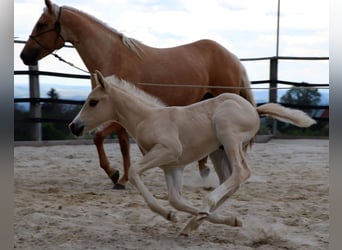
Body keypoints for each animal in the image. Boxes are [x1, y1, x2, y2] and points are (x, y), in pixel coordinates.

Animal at [20, 0, 255, 188]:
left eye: (41, 24)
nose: (24, 56)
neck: (112, 55)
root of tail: (232, 57)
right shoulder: (120, 116)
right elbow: (123, 146)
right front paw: (122, 177)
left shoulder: (118, 116)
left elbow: (98, 137)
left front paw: (116, 175)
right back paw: (204, 171)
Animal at [69, 71, 316, 236]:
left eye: (93, 102)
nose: (74, 126)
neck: (146, 118)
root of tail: (254, 110)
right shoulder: (172, 166)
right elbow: (176, 199)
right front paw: (215, 219)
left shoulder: (167, 151)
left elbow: (135, 172)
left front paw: (171, 215)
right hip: (219, 152)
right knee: (230, 181)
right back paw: (197, 222)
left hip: (228, 135)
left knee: (241, 172)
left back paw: (204, 209)